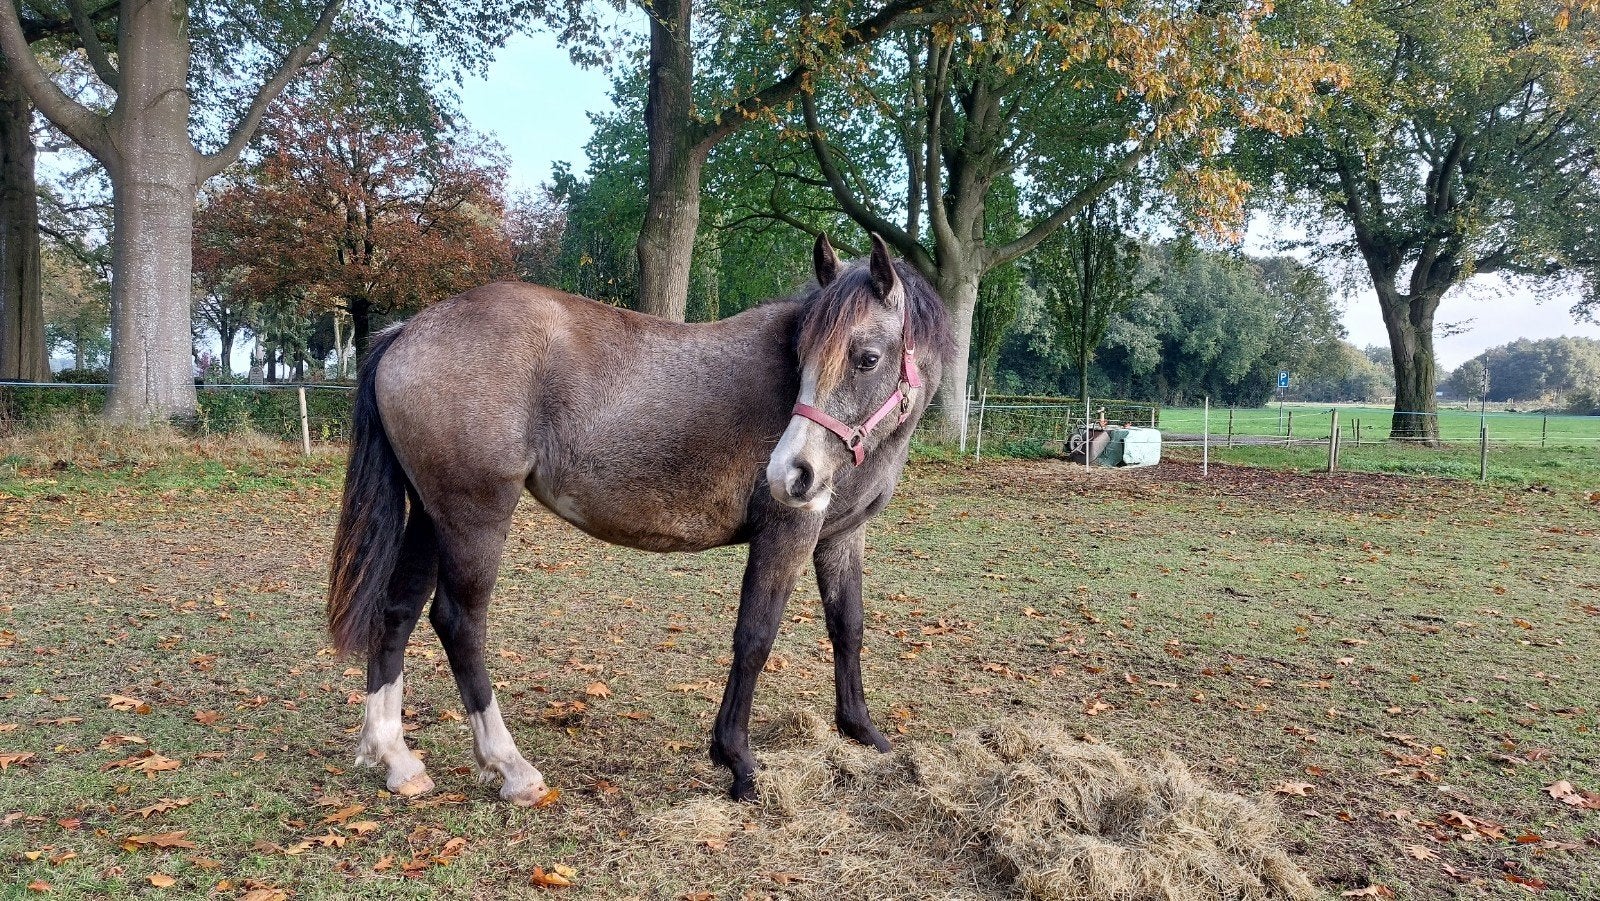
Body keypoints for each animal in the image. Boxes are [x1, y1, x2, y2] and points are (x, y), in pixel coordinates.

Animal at [326, 234, 953, 803]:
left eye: (865, 358)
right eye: (801, 358)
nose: (789, 472)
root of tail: (408, 331)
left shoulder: (841, 537)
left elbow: (848, 626)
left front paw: (863, 732)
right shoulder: (788, 532)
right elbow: (755, 636)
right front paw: (738, 762)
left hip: (430, 517)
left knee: (397, 611)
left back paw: (395, 759)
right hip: (473, 518)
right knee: (459, 623)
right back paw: (511, 768)